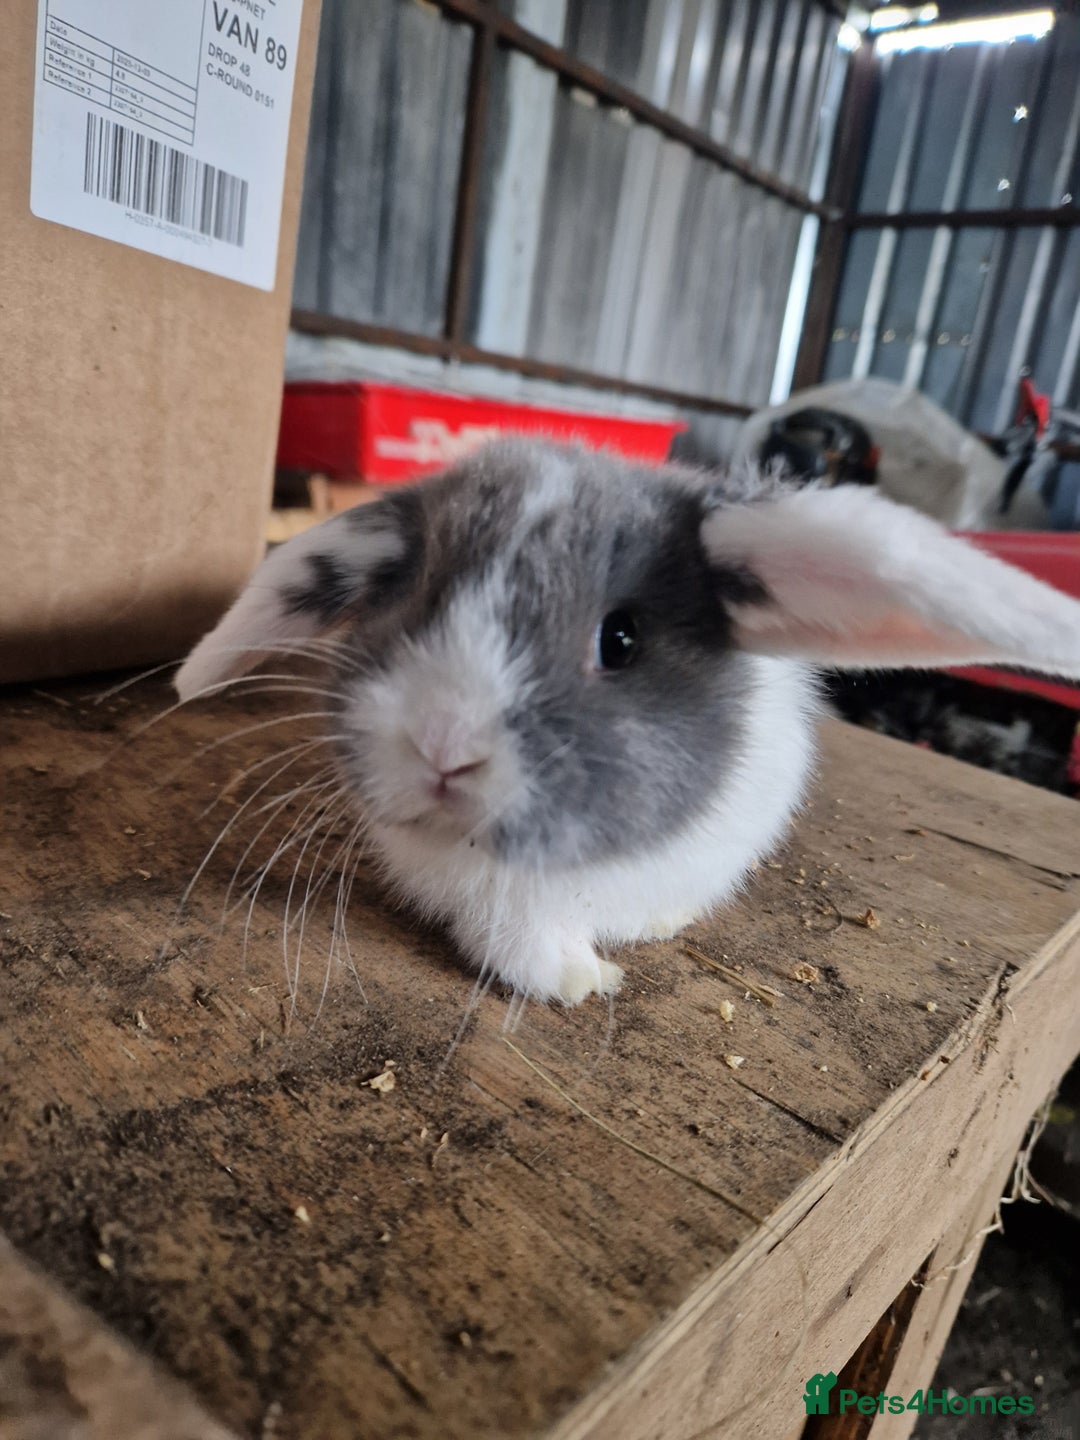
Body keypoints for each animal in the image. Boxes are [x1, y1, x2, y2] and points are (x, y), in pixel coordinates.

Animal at [176, 439, 1080, 1005]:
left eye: (621, 639)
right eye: (412, 601)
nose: (442, 747)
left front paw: (645, 938)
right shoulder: (505, 907)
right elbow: (523, 945)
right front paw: (584, 985)